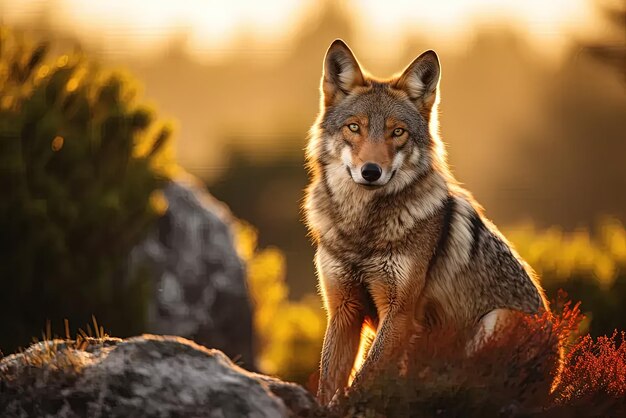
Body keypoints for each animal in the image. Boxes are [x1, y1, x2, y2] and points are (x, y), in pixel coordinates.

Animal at [302, 39, 552, 404]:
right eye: (354, 127)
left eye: (398, 132)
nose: (371, 172)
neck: (362, 229)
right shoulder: (343, 310)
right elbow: (328, 383)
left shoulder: (400, 313)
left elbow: (361, 381)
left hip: (498, 319)